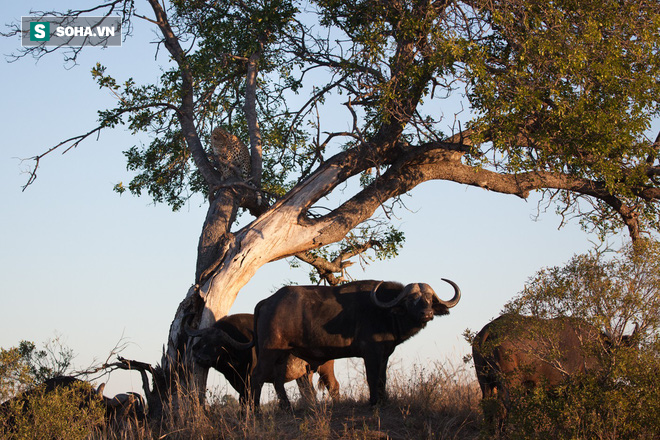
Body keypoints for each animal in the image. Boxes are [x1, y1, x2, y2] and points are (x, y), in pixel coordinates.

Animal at [187, 312, 338, 406]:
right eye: (204, 341)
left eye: (218, 346)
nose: (202, 359)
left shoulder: (249, 379)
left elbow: (247, 399)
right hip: (304, 374)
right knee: (308, 392)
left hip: (325, 368)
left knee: (333, 386)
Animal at [250, 280, 462, 408]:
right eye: (411, 299)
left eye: (429, 299)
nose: (427, 314)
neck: (385, 313)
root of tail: (267, 301)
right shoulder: (371, 354)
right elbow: (372, 378)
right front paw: (373, 402)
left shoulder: (384, 355)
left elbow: (382, 379)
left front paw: (383, 401)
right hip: (269, 352)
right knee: (257, 377)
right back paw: (255, 411)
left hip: (283, 355)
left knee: (278, 381)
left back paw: (287, 408)